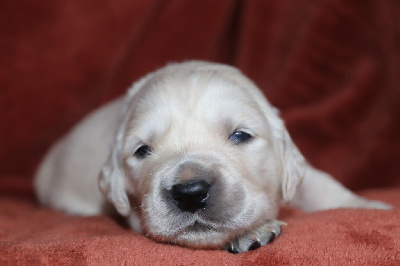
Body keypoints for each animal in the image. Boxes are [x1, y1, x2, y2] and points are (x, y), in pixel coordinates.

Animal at [34, 60, 390, 254]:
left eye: (241, 135)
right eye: (142, 150)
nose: (190, 193)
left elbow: (321, 184)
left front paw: (369, 208)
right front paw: (253, 231)